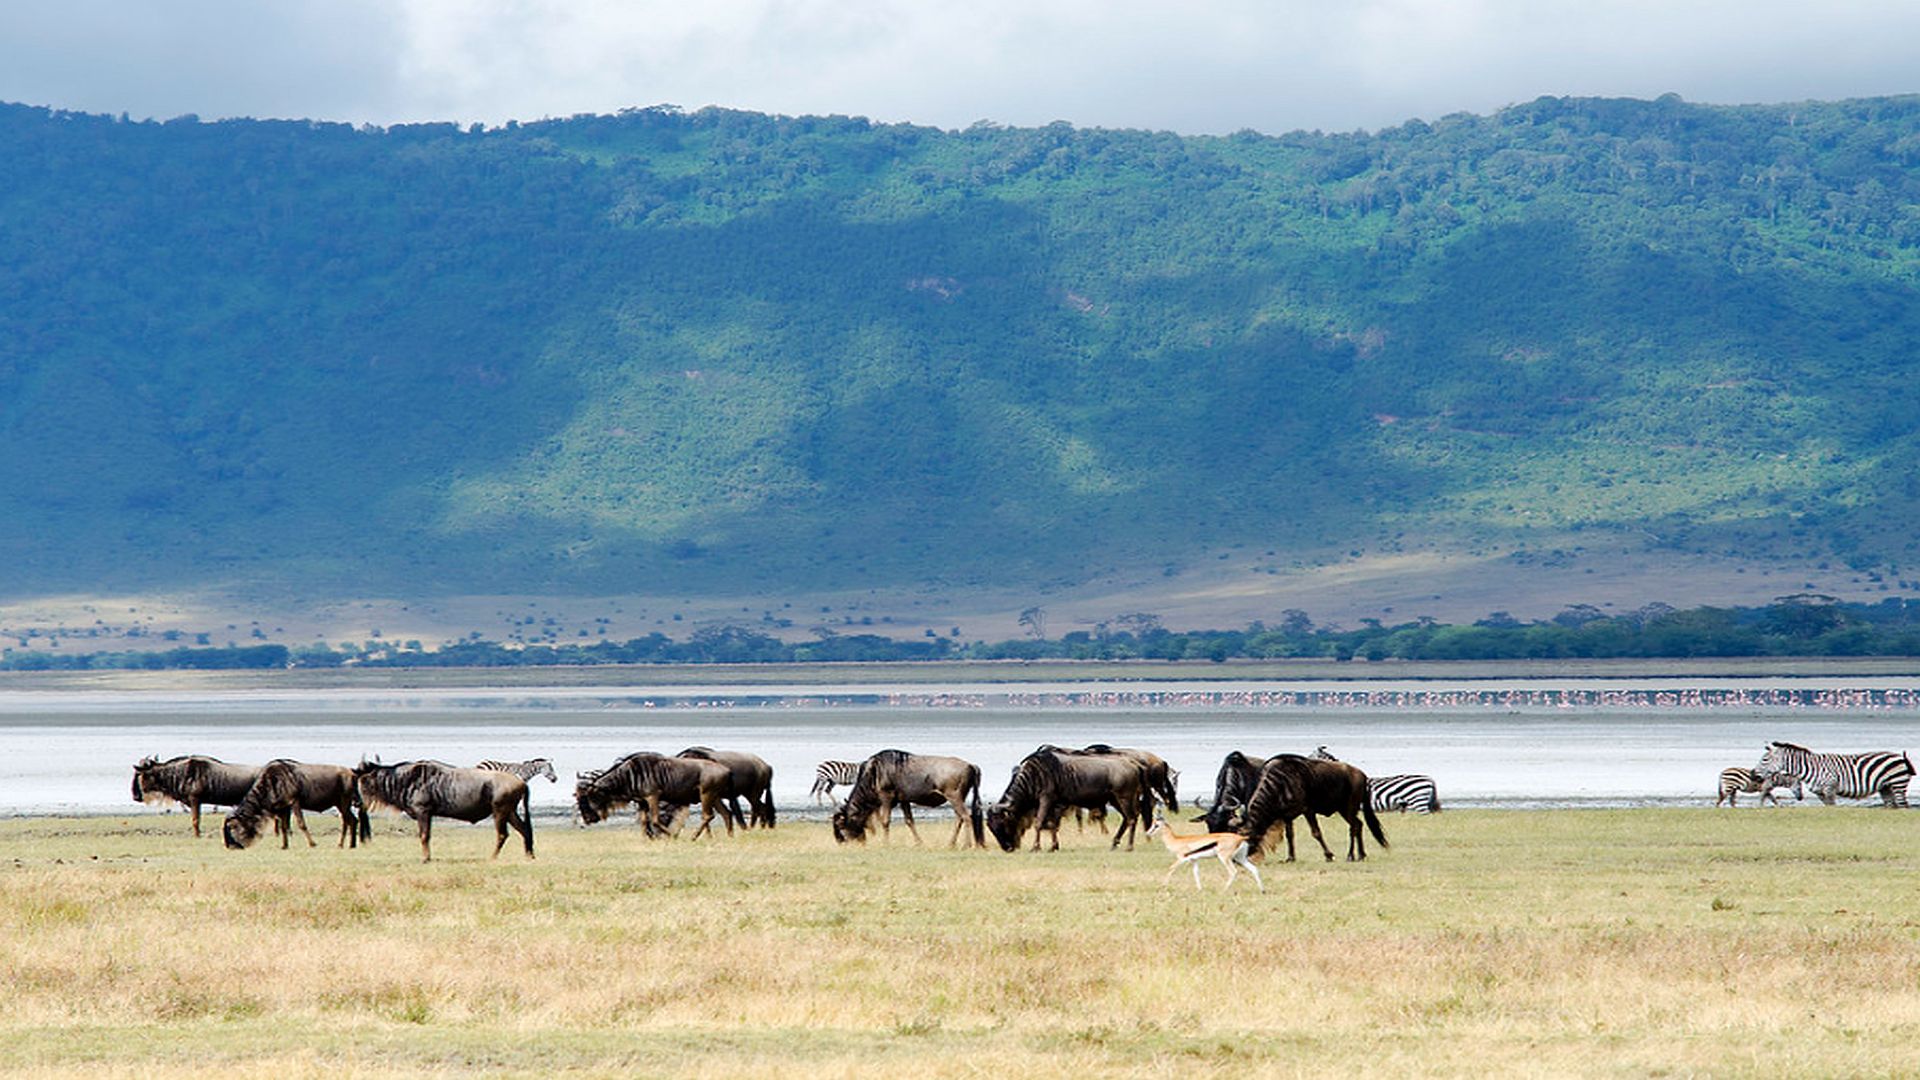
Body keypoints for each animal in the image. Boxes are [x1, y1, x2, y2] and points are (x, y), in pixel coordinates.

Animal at [1758, 734, 1912, 803]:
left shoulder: (1830, 789)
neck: (1810, 768)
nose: (1754, 774)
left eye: (1765, 759)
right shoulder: (1820, 793)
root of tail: (1900, 756)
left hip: (1898, 783)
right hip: (1885, 787)